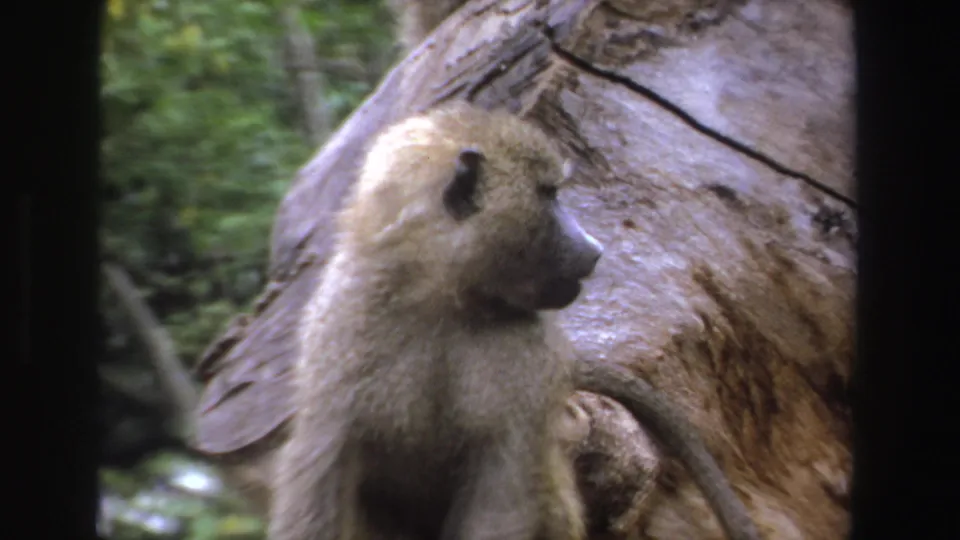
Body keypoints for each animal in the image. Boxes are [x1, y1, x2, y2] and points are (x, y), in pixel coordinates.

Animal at [268, 101, 597, 540]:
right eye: (550, 195)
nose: (594, 248)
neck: (441, 297)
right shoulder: (342, 324)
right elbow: (323, 462)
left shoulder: (529, 355)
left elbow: (502, 488)